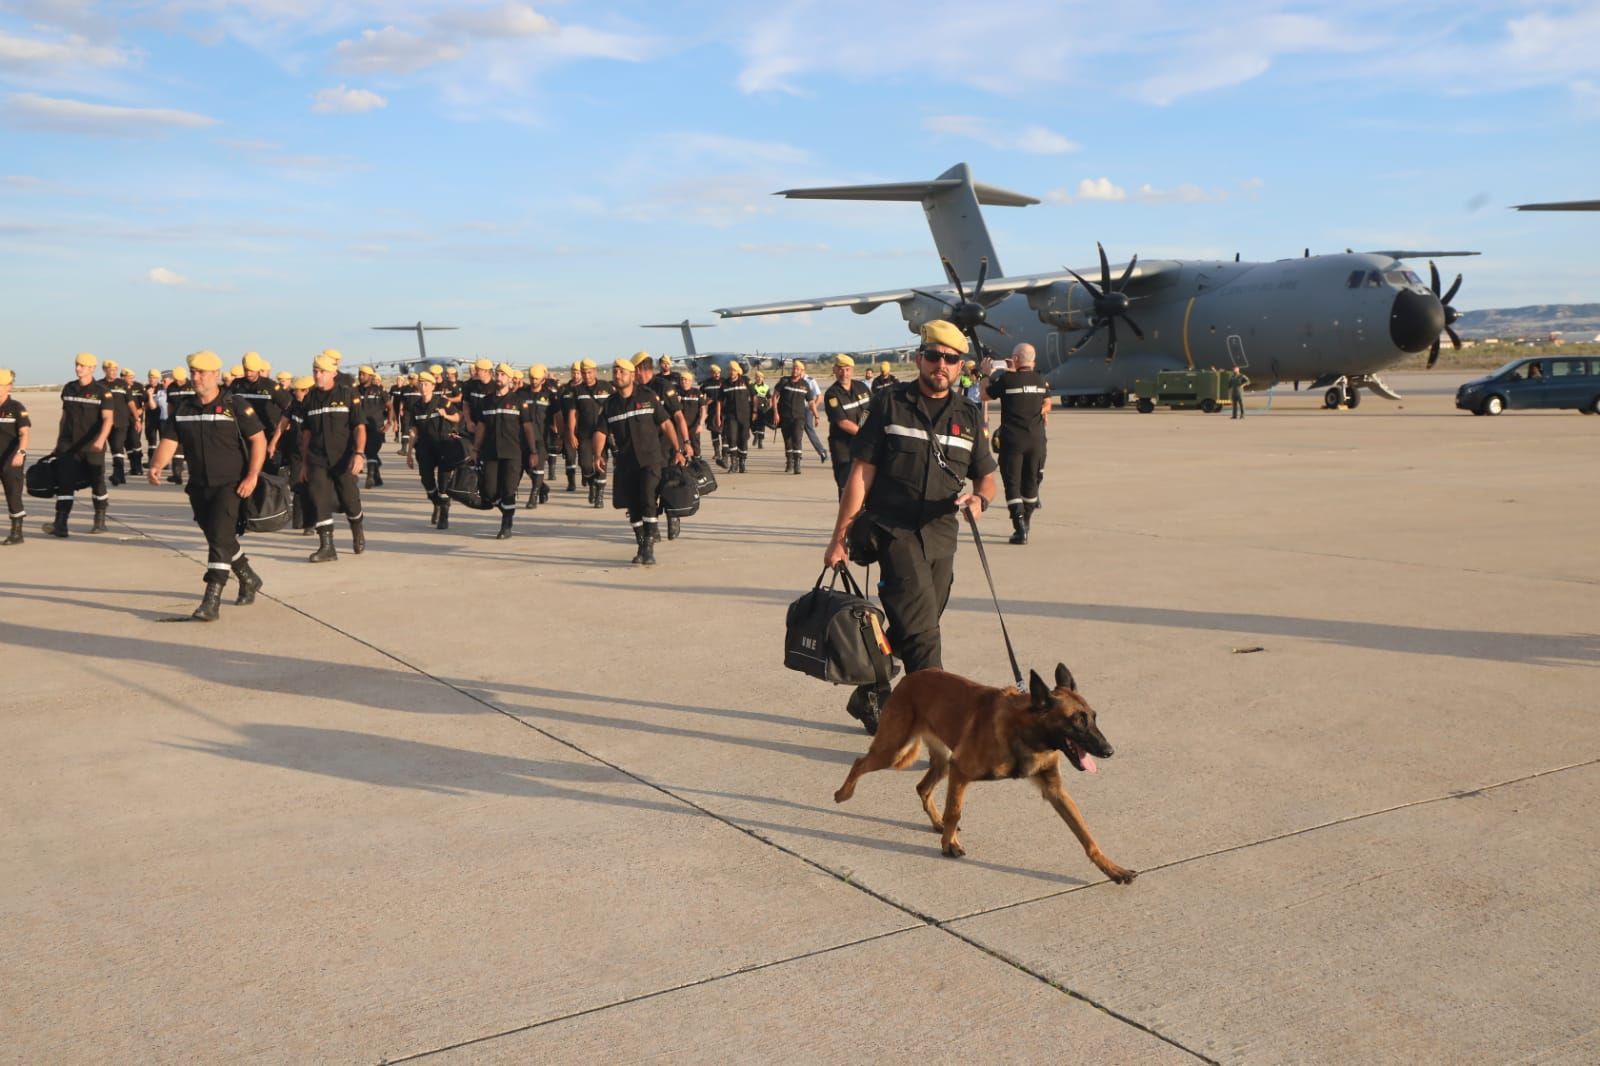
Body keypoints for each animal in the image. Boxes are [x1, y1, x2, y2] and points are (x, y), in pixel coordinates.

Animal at [832, 665, 1132, 877]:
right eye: (1077, 721)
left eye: (1093, 718)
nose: (1109, 751)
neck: (1025, 732)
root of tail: (910, 678)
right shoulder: (961, 772)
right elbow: (955, 811)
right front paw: (949, 844)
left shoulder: (1055, 791)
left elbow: (1085, 834)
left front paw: (1112, 868)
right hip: (894, 750)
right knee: (860, 763)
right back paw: (843, 793)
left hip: (941, 762)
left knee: (922, 787)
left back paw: (937, 821)